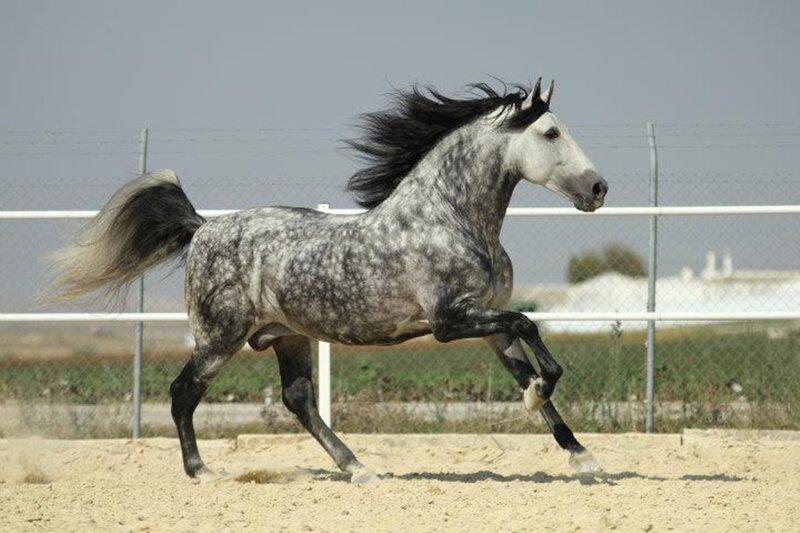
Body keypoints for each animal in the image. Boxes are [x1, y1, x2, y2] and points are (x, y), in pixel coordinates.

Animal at [49, 77, 608, 482]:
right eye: (551, 133)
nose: (598, 188)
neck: (448, 219)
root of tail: (203, 227)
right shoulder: (450, 320)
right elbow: (531, 327)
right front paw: (539, 394)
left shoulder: (488, 324)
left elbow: (526, 354)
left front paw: (583, 457)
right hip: (219, 337)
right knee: (183, 392)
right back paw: (202, 472)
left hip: (287, 337)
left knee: (298, 401)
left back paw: (359, 468)